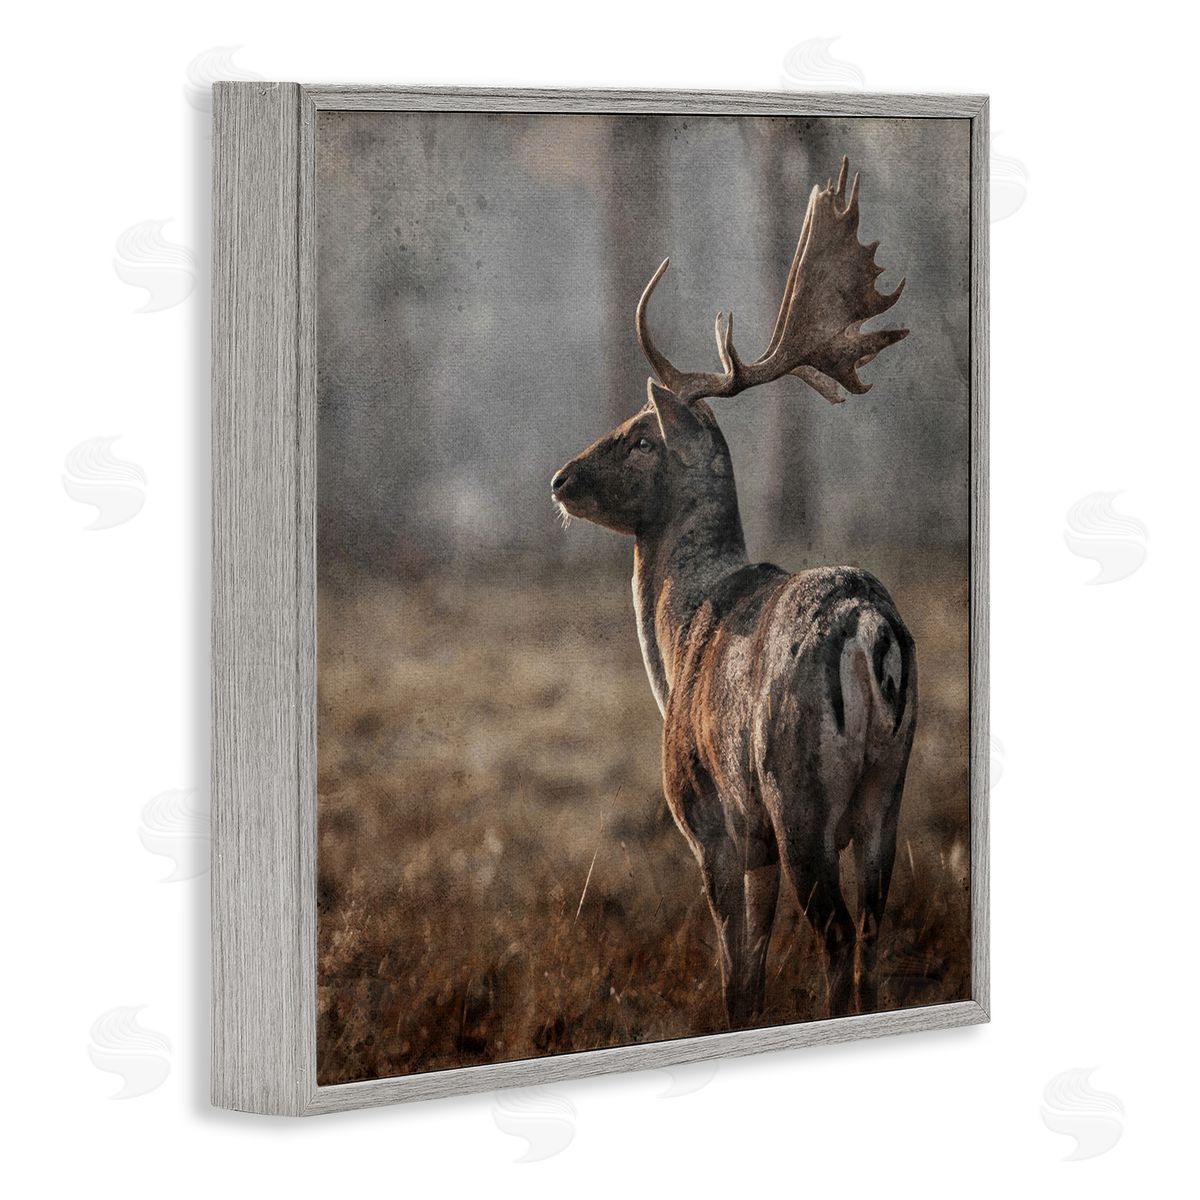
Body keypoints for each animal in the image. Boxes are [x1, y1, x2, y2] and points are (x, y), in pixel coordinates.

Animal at [551, 157, 917, 1025]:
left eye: (639, 436)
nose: (561, 480)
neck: (679, 638)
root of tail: (870, 630)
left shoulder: (713, 820)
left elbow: (737, 976)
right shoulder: (757, 847)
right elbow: (752, 965)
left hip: (797, 793)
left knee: (838, 935)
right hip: (886, 792)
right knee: (875, 934)